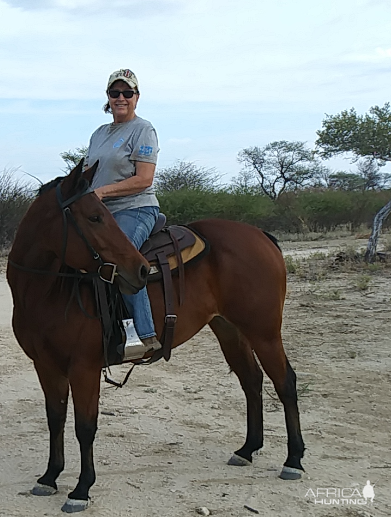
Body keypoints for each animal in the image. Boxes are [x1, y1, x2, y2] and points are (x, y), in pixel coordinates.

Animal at [6, 161, 306, 512]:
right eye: (94, 217)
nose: (138, 269)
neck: (48, 291)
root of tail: (260, 235)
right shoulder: (45, 365)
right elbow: (55, 419)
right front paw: (50, 477)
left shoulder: (84, 368)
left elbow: (85, 426)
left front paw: (81, 489)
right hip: (229, 329)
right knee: (251, 380)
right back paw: (247, 450)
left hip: (264, 332)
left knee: (285, 382)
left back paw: (293, 460)